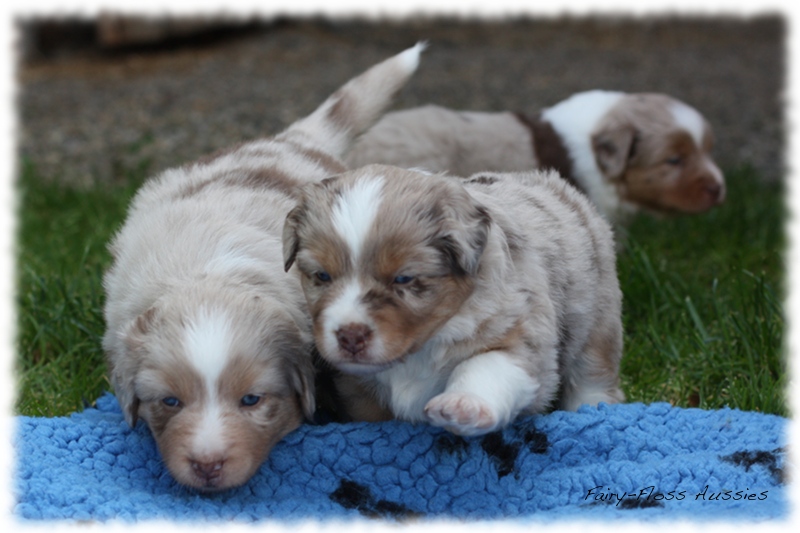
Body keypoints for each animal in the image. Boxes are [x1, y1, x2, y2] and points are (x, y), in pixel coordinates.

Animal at [284, 164, 628, 434]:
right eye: (322, 276)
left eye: (403, 278)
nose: (350, 337)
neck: (419, 349)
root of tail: (555, 183)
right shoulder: (359, 390)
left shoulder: (523, 334)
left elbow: (487, 363)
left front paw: (463, 406)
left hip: (598, 317)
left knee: (592, 374)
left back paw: (593, 408)